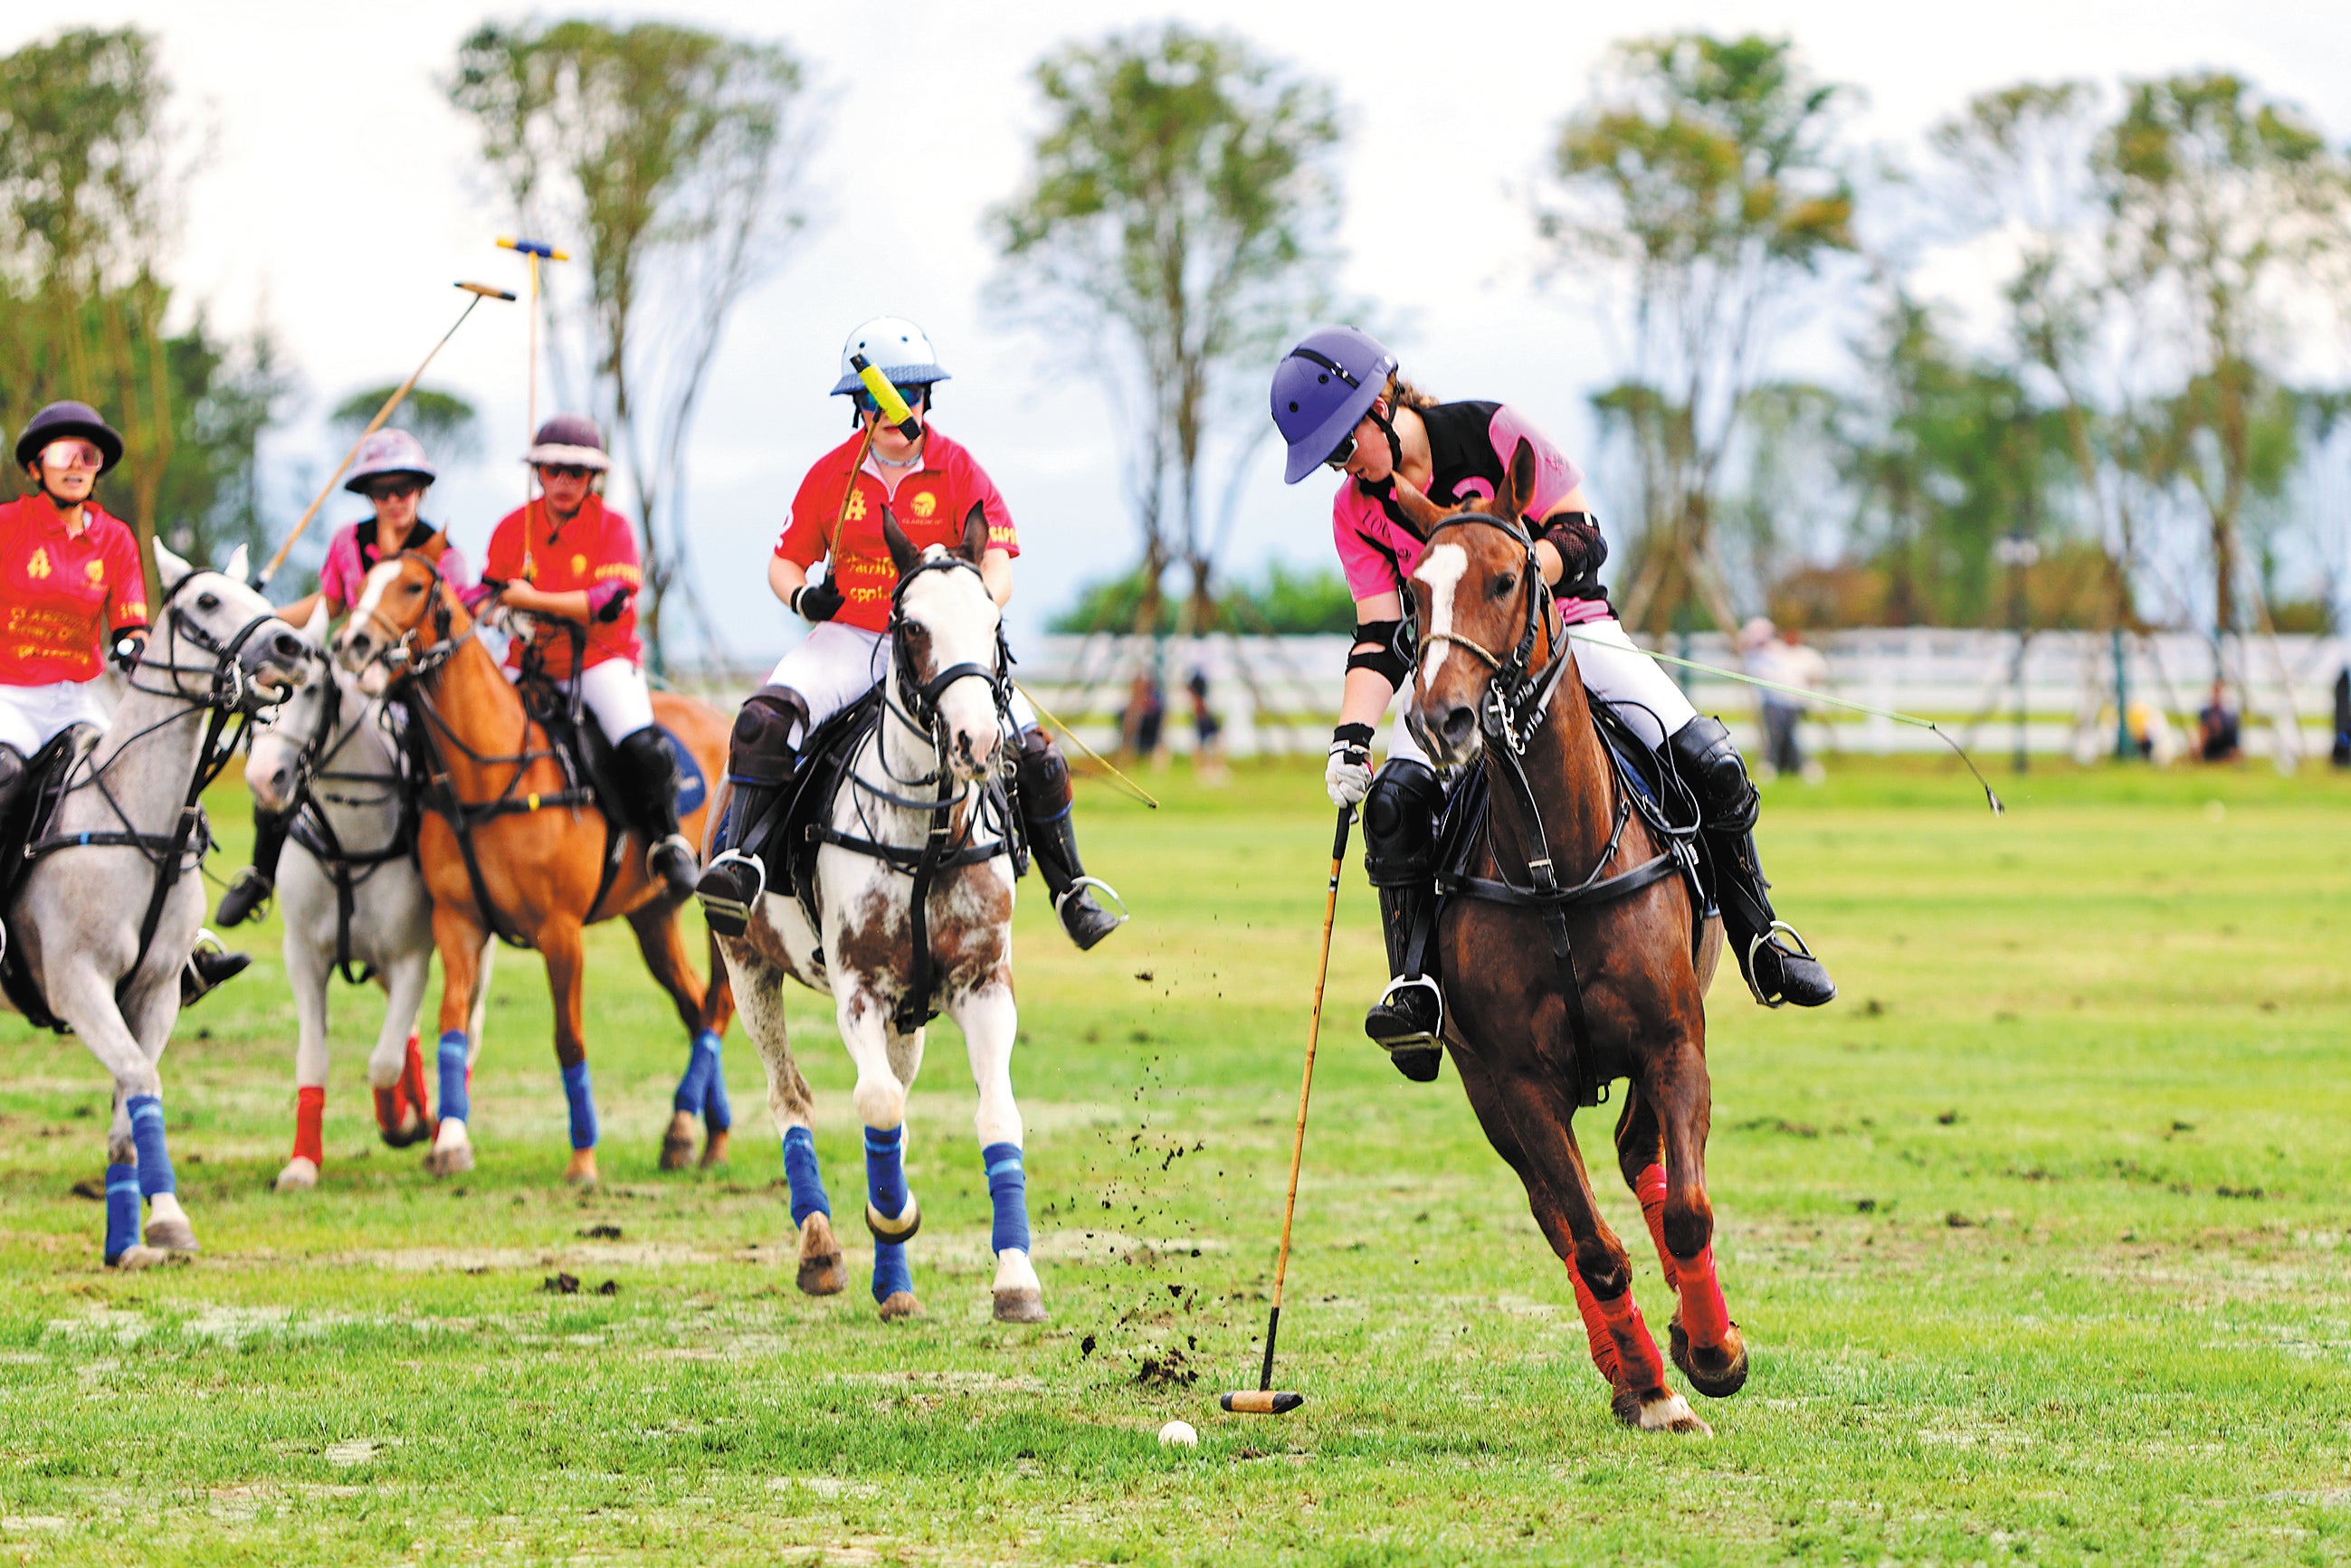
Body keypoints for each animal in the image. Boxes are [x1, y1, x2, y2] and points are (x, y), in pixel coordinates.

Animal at [3, 540, 308, 1259]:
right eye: (207, 600)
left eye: (255, 594)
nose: (293, 645)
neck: (147, 825)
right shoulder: (77, 983)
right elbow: (142, 1078)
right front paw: (161, 1224)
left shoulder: (157, 989)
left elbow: (127, 1105)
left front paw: (146, 1231)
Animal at [241, 606, 493, 1193]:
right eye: (260, 694)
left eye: (310, 689)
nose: (265, 780)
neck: (348, 843)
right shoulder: (304, 958)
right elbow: (314, 1058)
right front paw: (301, 1164)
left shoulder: (411, 958)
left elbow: (382, 1062)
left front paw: (402, 1121)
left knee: (463, 1028)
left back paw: (440, 1122)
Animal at [333, 556, 733, 1184]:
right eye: (364, 581)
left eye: (413, 586)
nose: (351, 643)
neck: (490, 775)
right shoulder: (459, 922)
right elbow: (451, 1021)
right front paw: (450, 1143)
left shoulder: (561, 931)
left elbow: (569, 1039)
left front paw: (582, 1159)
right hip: (653, 915)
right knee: (693, 1005)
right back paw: (699, 1136)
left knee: (717, 1007)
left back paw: (687, 1127)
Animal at [1392, 439, 1748, 1439]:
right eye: (1413, 594)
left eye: (1509, 578)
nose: (1441, 719)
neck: (1558, 863)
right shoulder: (1515, 1081)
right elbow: (1589, 1243)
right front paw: (1656, 1387)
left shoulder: (1675, 1042)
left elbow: (1690, 1210)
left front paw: (1715, 1350)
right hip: (1485, 1089)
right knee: (1559, 1210)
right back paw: (1635, 1372)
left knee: (1641, 1159)